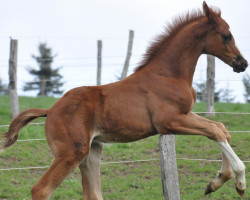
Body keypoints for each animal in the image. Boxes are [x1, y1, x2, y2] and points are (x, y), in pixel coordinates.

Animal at [0, 1, 247, 198]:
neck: (168, 74)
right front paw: (240, 180)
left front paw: (217, 181)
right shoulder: (168, 122)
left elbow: (220, 127)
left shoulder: (184, 114)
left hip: (91, 153)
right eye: (227, 35)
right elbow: (214, 131)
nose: (242, 63)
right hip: (70, 153)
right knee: (40, 189)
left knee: (92, 194)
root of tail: (50, 110)